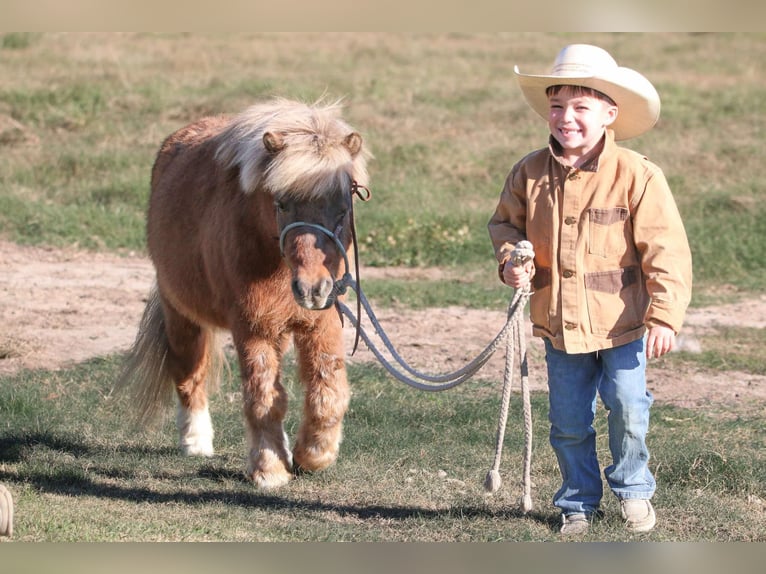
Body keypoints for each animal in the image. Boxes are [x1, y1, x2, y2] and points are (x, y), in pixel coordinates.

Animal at [117, 99, 372, 490]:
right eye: (281, 203)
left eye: (343, 209)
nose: (313, 289)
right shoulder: (252, 328)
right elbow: (263, 398)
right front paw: (269, 469)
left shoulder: (320, 323)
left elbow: (328, 391)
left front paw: (313, 455)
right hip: (182, 316)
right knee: (189, 375)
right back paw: (196, 442)